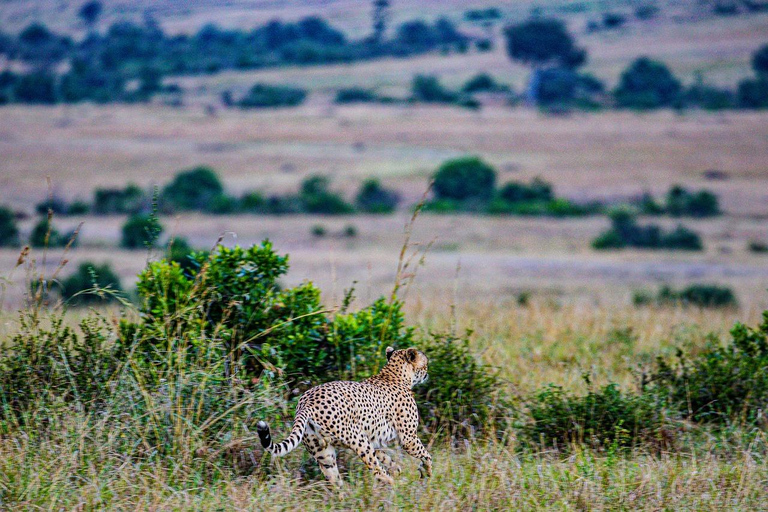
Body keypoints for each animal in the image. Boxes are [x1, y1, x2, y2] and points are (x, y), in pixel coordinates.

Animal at [256, 346, 432, 486]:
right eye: (426, 363)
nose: (427, 373)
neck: (394, 374)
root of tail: (306, 401)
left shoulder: (374, 439)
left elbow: (386, 457)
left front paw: (397, 468)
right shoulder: (408, 438)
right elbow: (426, 455)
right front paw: (427, 472)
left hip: (323, 453)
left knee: (334, 480)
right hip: (358, 440)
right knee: (376, 471)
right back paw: (394, 486)